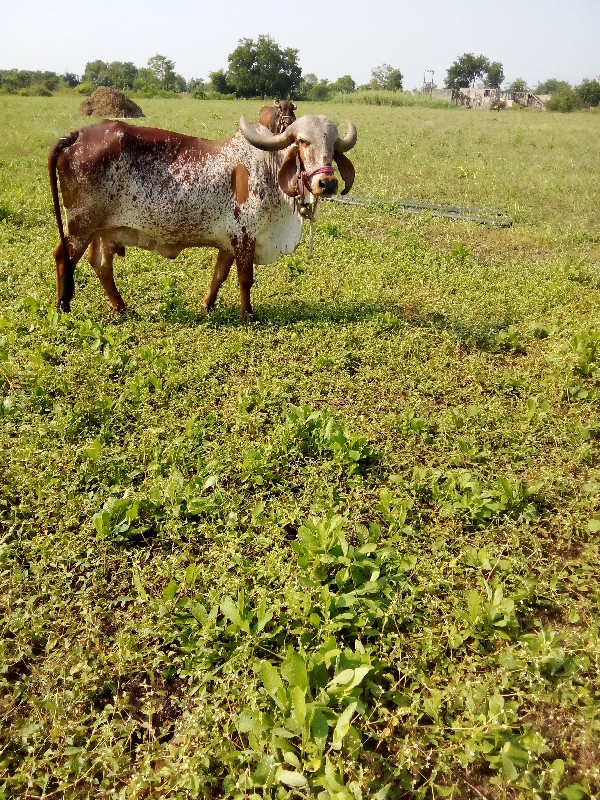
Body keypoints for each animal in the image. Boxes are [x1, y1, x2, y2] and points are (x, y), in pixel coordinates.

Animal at [49, 113, 356, 318]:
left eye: (333, 145)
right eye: (303, 142)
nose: (327, 183)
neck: (269, 168)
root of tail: (78, 135)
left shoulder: (229, 241)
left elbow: (219, 275)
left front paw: (208, 306)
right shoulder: (245, 236)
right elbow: (245, 279)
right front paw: (248, 315)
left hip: (102, 230)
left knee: (101, 264)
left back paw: (121, 307)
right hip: (80, 225)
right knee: (63, 257)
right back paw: (63, 306)